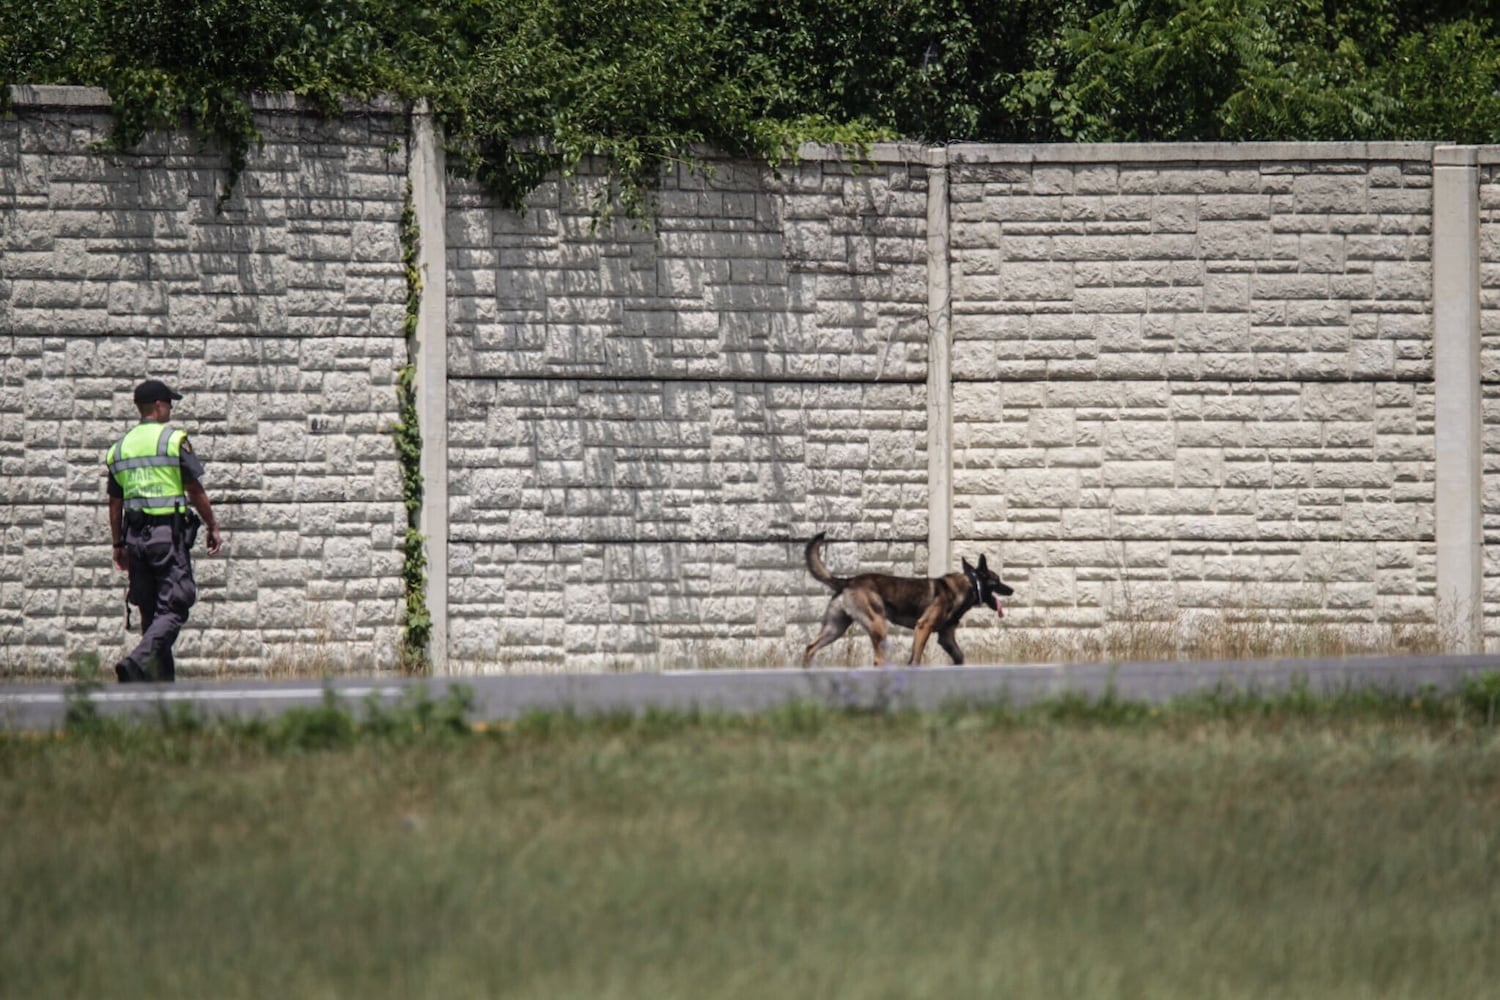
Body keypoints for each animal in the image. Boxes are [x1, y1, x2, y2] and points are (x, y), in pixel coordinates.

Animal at [804, 530, 1014, 665]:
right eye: (997, 580)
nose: (1011, 590)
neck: (970, 584)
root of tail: (848, 581)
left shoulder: (946, 638)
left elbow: (960, 658)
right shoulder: (923, 627)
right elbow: (915, 659)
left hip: (835, 628)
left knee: (810, 648)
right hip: (878, 627)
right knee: (878, 660)